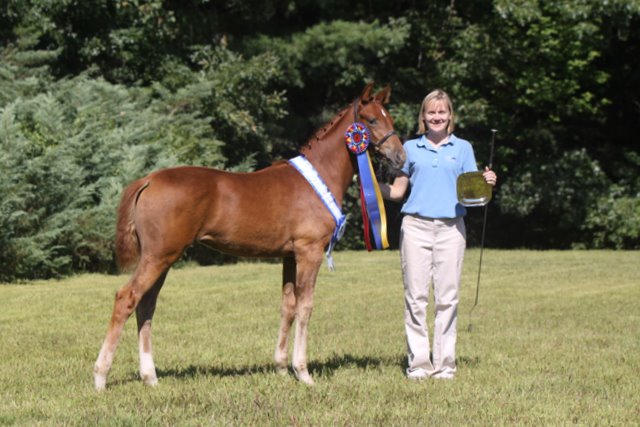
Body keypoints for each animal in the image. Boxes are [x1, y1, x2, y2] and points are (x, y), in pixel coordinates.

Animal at [93, 83, 406, 390]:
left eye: (389, 117)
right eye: (371, 120)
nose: (400, 157)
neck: (318, 178)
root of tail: (148, 180)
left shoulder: (289, 256)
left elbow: (288, 306)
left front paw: (281, 368)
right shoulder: (310, 252)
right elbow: (305, 306)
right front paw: (303, 372)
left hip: (162, 259)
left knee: (146, 305)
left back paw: (150, 377)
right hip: (159, 256)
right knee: (126, 298)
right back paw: (101, 377)